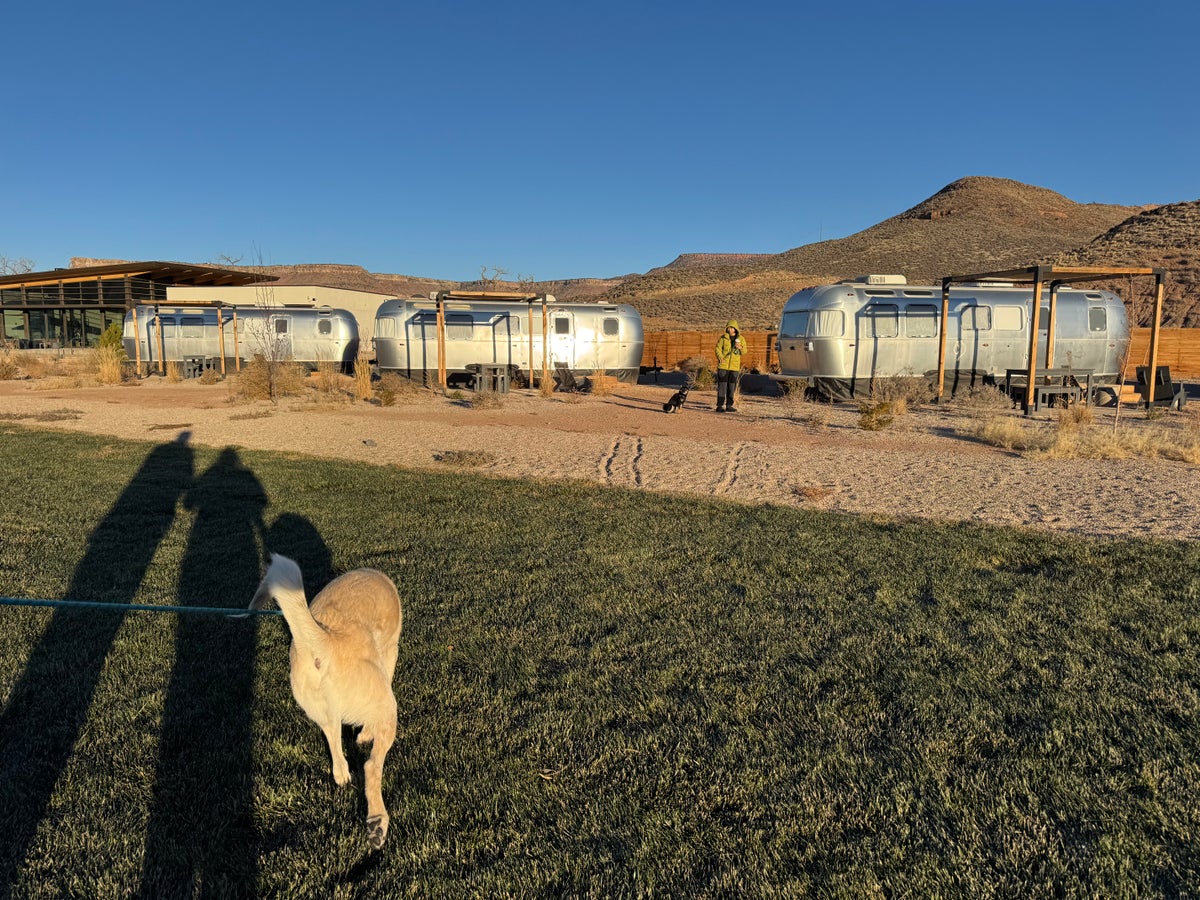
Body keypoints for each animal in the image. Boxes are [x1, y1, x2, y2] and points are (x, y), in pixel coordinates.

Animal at [252, 554, 403, 849]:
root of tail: (328, 640)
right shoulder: (389, 655)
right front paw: (365, 735)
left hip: (322, 710)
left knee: (333, 737)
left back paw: (341, 774)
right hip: (386, 705)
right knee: (371, 767)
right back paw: (378, 822)